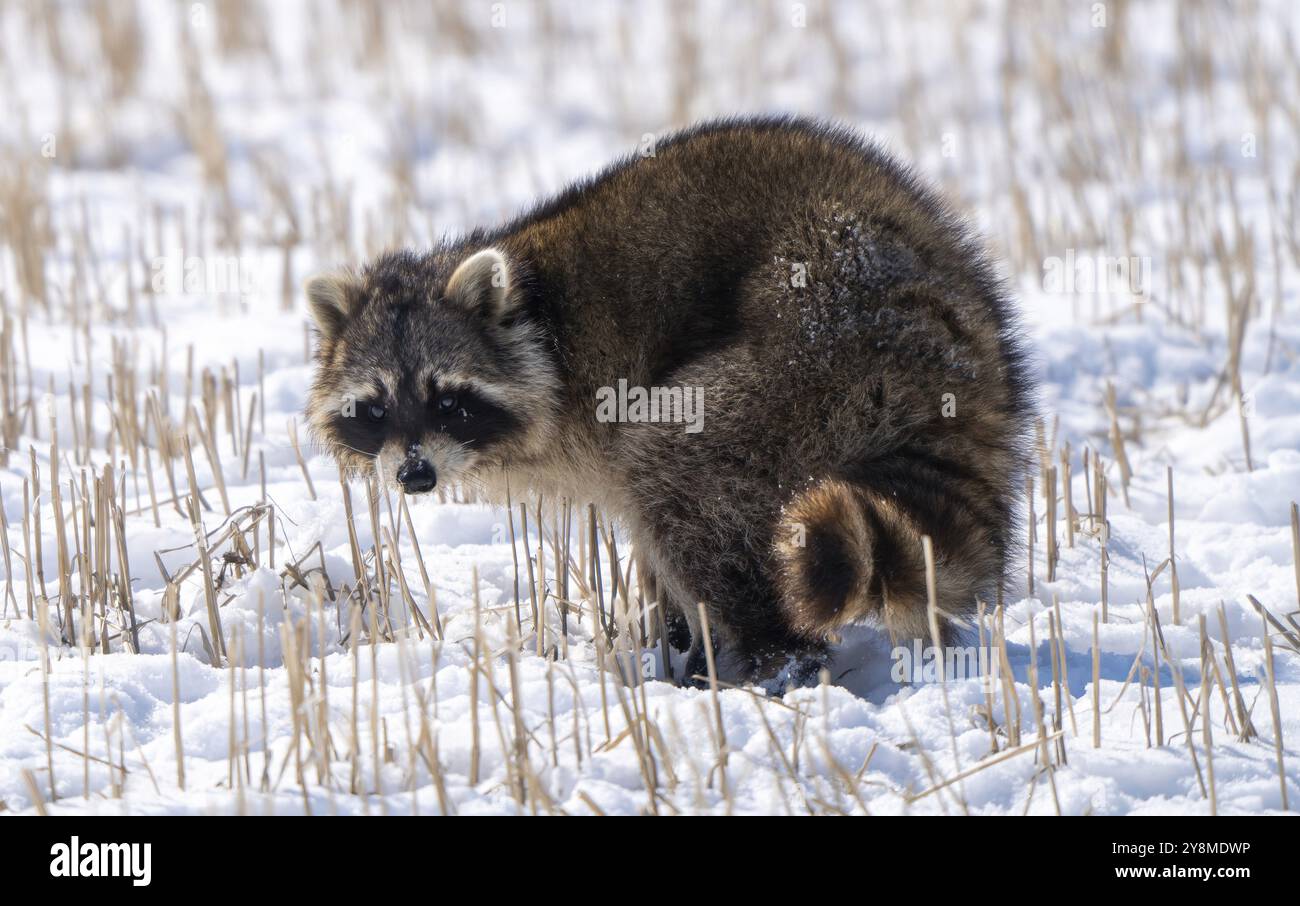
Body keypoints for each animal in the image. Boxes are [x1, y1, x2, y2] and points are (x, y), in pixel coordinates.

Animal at [301, 118, 1024, 686]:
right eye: (375, 406)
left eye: (447, 400)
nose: (414, 475)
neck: (536, 320)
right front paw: (668, 637)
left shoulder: (601, 383)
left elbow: (659, 487)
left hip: (812, 347)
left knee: (675, 469)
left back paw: (776, 656)